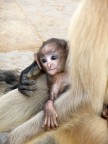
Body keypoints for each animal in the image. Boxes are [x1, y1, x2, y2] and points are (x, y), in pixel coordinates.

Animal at [0, 0, 108, 144]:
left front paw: (14, 139)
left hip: (94, 132)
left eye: (53, 57)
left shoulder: (98, 5)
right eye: (44, 60)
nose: (49, 64)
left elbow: (85, 96)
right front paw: (32, 68)